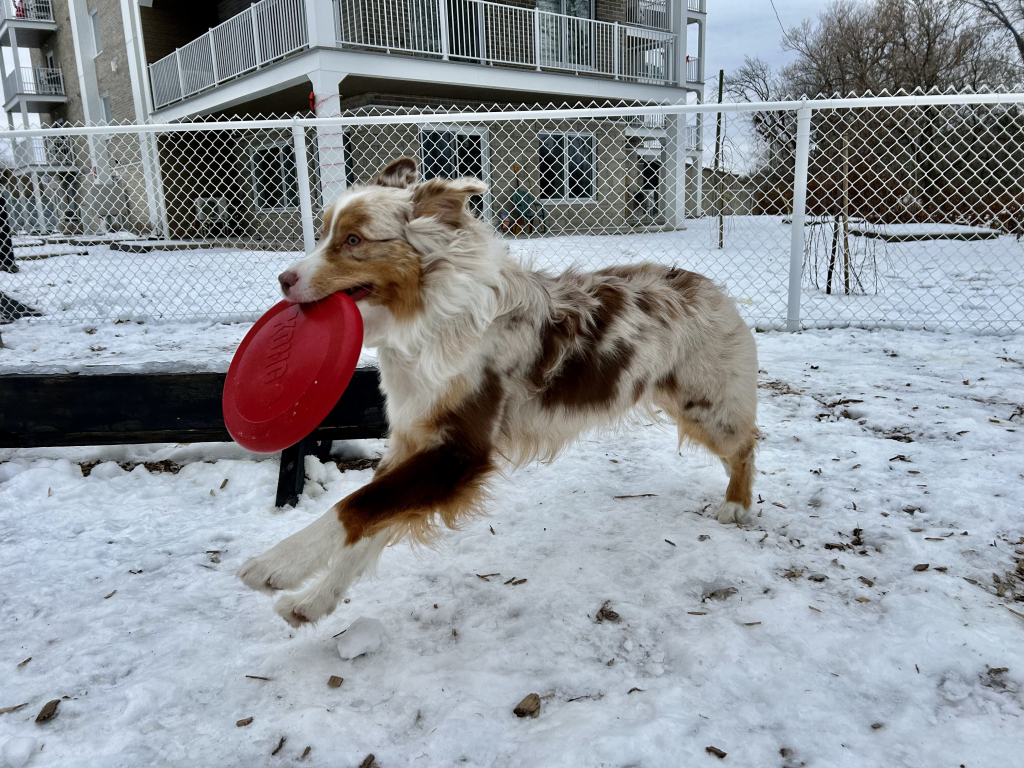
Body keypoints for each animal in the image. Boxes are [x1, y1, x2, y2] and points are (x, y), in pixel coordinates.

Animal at [235, 157, 757, 630]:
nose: (283, 280)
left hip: (706, 407)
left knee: (747, 443)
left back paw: (737, 504)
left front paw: (277, 564)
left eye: (354, 240)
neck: (425, 323)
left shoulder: (461, 450)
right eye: (326, 233)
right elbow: (370, 520)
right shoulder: (414, 438)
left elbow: (356, 506)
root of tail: (707, 284)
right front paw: (315, 601)